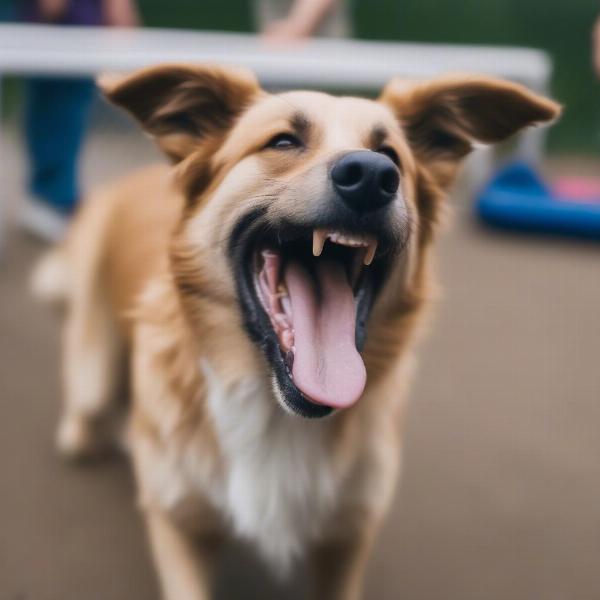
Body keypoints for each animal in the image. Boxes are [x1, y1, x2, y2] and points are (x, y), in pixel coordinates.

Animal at [32, 63, 556, 596]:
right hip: (94, 370)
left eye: (392, 156)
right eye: (283, 141)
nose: (372, 176)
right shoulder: (179, 525)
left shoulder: (348, 536)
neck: (278, 414)